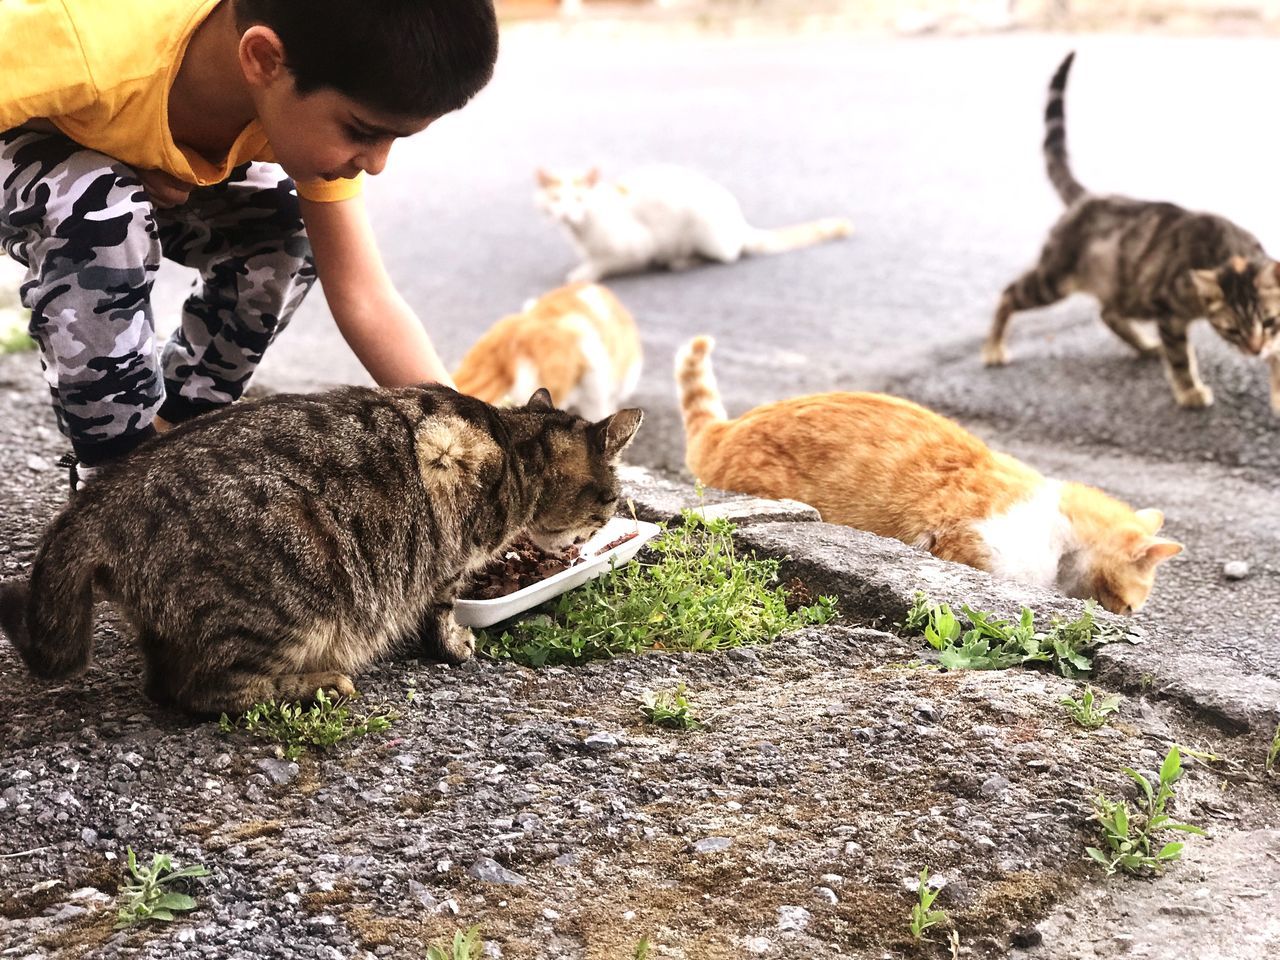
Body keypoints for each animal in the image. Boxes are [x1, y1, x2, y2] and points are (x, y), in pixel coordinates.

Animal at [0, 389, 640, 716]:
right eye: (609, 503)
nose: (599, 530)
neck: (513, 446)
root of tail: (103, 496)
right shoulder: (446, 558)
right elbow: (440, 610)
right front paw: (457, 645)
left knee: (162, 683)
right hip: (288, 602)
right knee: (202, 692)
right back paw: (319, 685)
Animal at [535, 165, 855, 284]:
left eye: (579, 199)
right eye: (555, 199)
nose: (566, 214)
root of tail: (739, 223)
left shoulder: (636, 247)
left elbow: (604, 262)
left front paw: (585, 272)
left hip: (703, 230)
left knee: (726, 257)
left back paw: (683, 260)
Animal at [983, 52, 1274, 414]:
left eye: (1268, 322)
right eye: (1232, 330)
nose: (1255, 350)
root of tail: (1087, 197)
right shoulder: (1168, 311)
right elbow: (1180, 359)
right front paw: (1190, 391)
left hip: (1127, 287)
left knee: (1108, 312)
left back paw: (1145, 345)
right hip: (1055, 280)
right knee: (1010, 293)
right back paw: (993, 347)